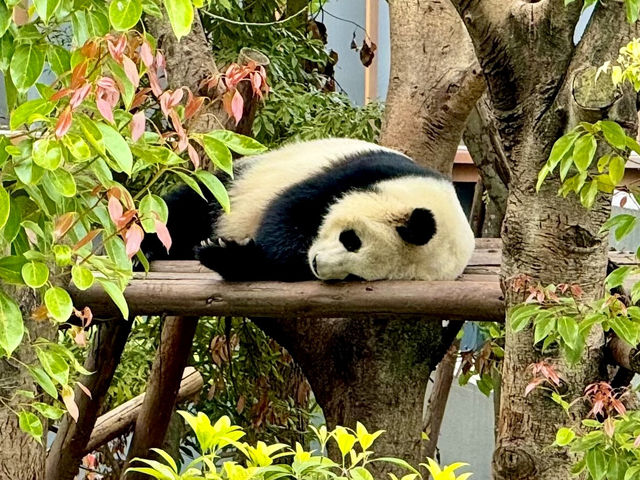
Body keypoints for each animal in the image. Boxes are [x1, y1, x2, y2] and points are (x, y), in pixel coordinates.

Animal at [145, 138, 476, 282]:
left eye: (355, 277)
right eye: (351, 239)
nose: (317, 264)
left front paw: (230, 256)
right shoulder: (367, 172)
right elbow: (290, 209)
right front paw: (225, 251)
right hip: (236, 186)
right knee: (187, 209)